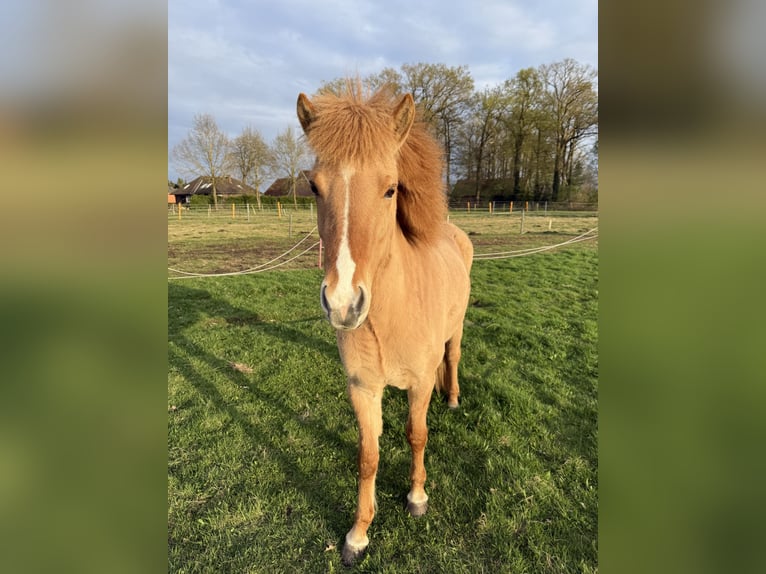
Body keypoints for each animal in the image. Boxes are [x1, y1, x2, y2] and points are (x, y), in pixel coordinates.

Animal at [296, 83, 473, 566]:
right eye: (314, 187)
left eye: (391, 189)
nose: (342, 303)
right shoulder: (362, 387)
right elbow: (368, 456)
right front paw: (358, 534)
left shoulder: (417, 385)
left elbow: (417, 435)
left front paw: (416, 497)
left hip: (456, 331)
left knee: (452, 359)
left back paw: (452, 399)